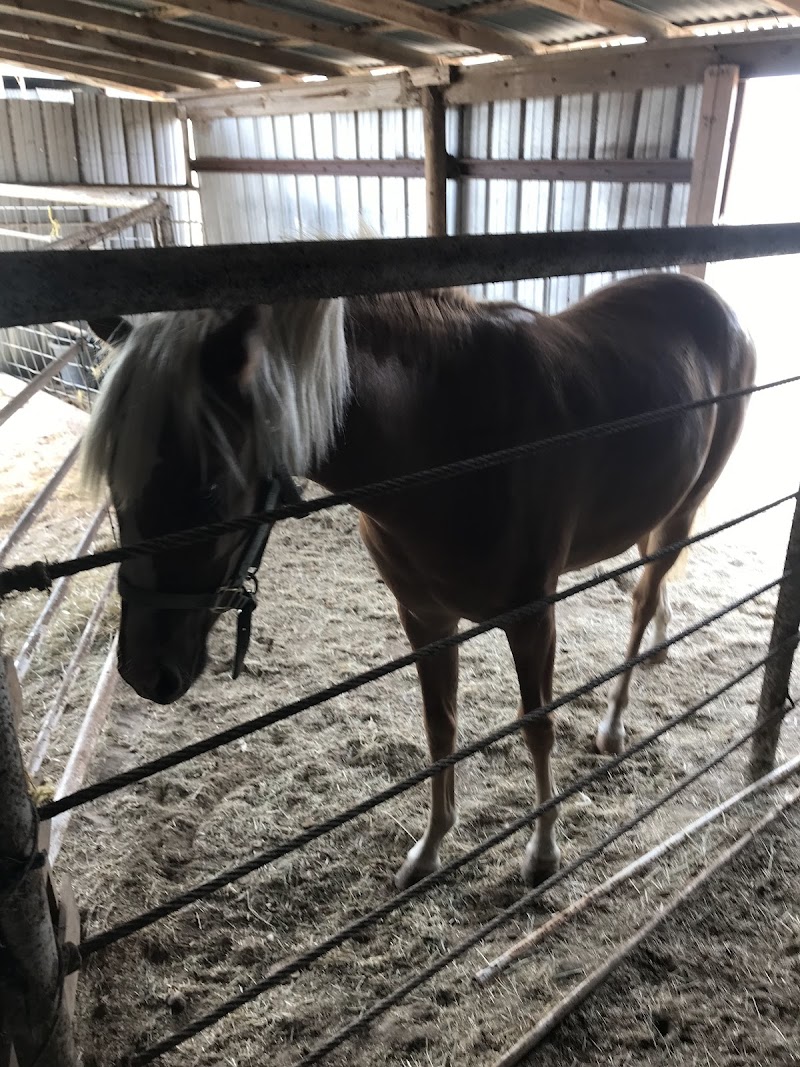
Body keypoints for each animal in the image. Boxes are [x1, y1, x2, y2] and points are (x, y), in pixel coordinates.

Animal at [82, 271, 756, 890]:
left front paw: (542, 853)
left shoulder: (533, 619)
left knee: (642, 599)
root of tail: (715, 305)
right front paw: (429, 851)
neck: (445, 435)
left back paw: (613, 724)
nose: (143, 670)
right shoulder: (425, 617)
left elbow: (537, 727)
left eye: (212, 488)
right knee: (652, 588)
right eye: (116, 483)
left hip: (684, 508)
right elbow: (440, 731)